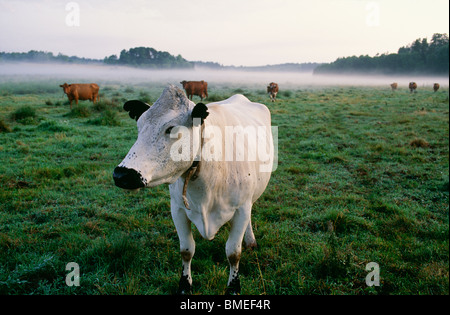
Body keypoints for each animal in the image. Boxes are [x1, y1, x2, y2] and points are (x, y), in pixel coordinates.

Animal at [112, 85, 274, 296]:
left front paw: (233, 288)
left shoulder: (241, 209)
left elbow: (233, 252)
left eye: (171, 129)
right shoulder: (178, 209)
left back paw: (250, 240)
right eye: (139, 127)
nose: (122, 174)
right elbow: (186, 250)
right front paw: (185, 285)